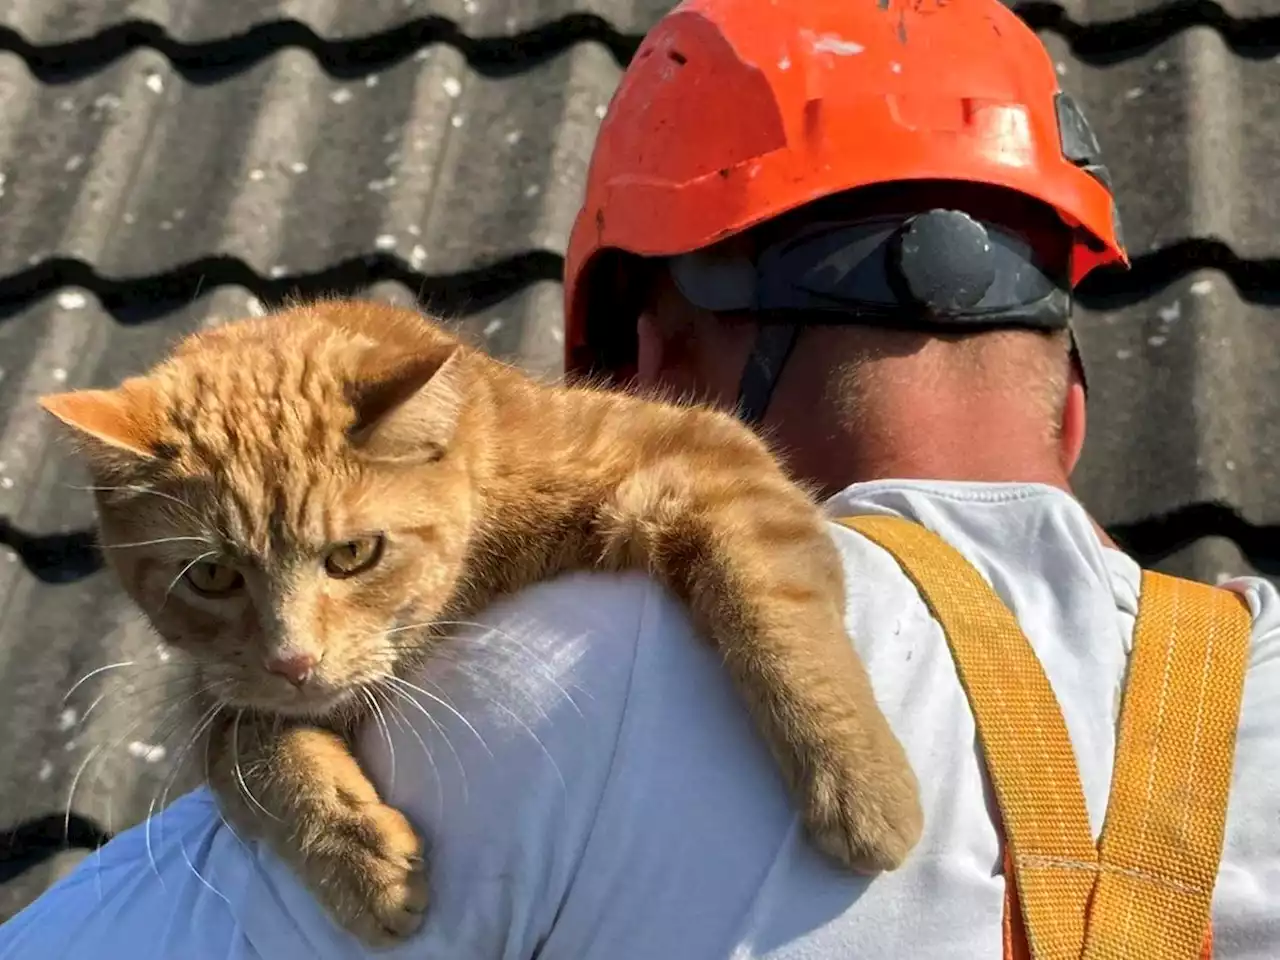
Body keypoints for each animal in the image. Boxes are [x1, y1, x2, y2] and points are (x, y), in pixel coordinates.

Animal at [40, 300, 921, 947]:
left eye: (353, 554)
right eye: (213, 576)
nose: (294, 661)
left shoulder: (703, 454)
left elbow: (774, 605)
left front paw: (862, 782)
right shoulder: (226, 700)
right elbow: (257, 757)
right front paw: (356, 856)